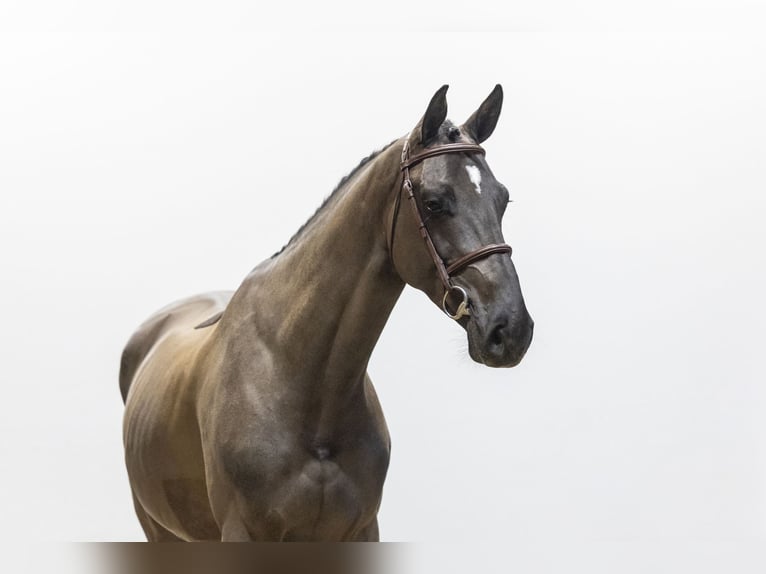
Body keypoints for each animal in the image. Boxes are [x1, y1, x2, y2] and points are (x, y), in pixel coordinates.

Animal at [120, 85, 534, 541]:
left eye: (503, 199)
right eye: (434, 202)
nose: (511, 328)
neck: (302, 380)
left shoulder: (361, 529)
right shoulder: (244, 533)